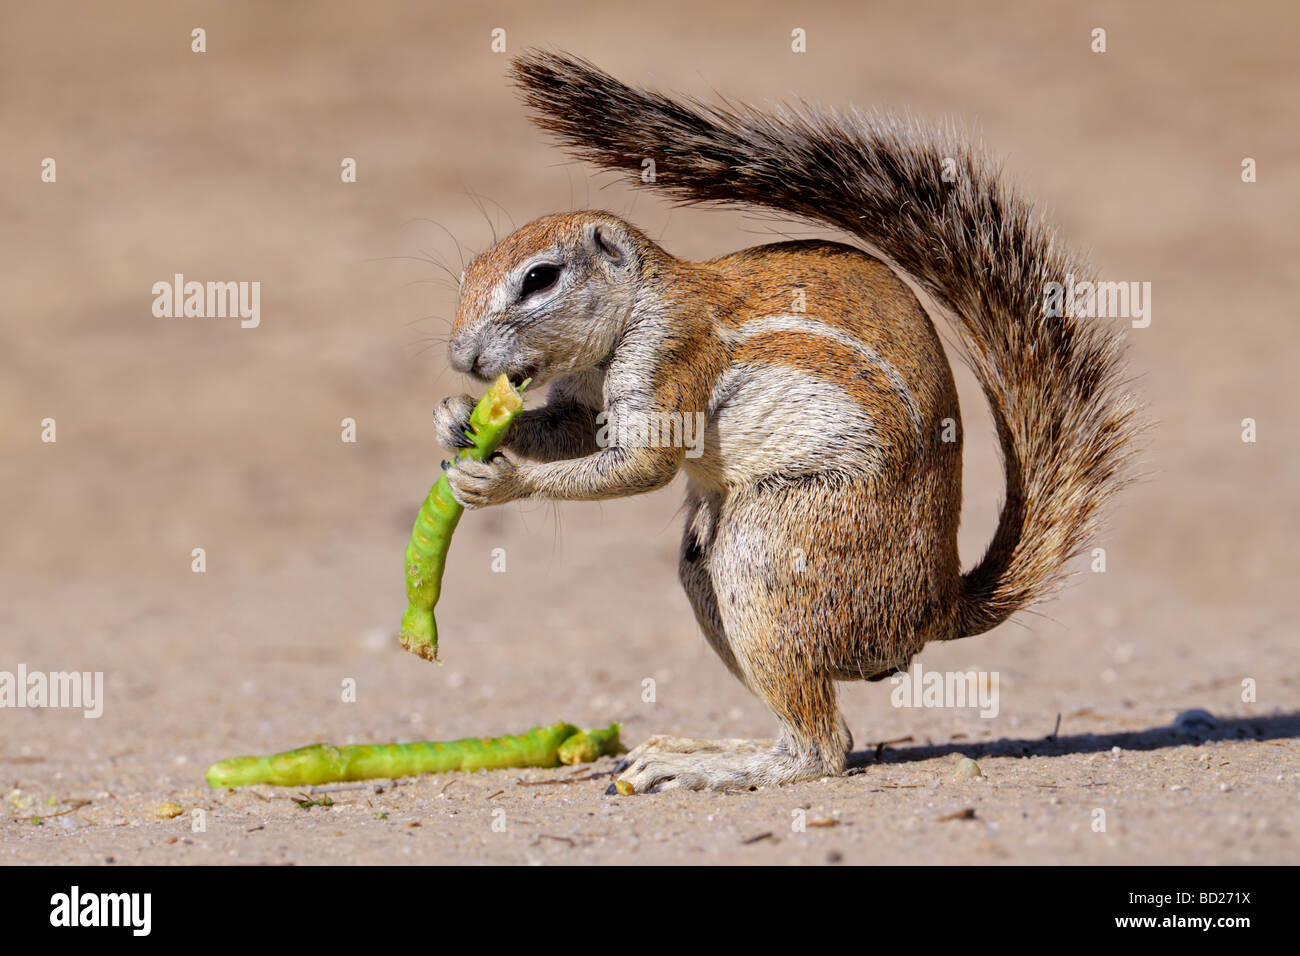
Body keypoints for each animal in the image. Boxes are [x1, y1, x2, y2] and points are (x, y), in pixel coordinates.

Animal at [428, 54, 1138, 801]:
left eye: (540, 278)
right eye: (469, 272)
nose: (462, 357)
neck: (636, 309)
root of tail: (935, 607)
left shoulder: (669, 353)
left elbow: (644, 463)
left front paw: (501, 480)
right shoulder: (581, 400)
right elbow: (573, 430)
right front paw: (456, 419)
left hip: (771, 552)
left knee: (821, 749)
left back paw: (704, 765)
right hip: (712, 568)